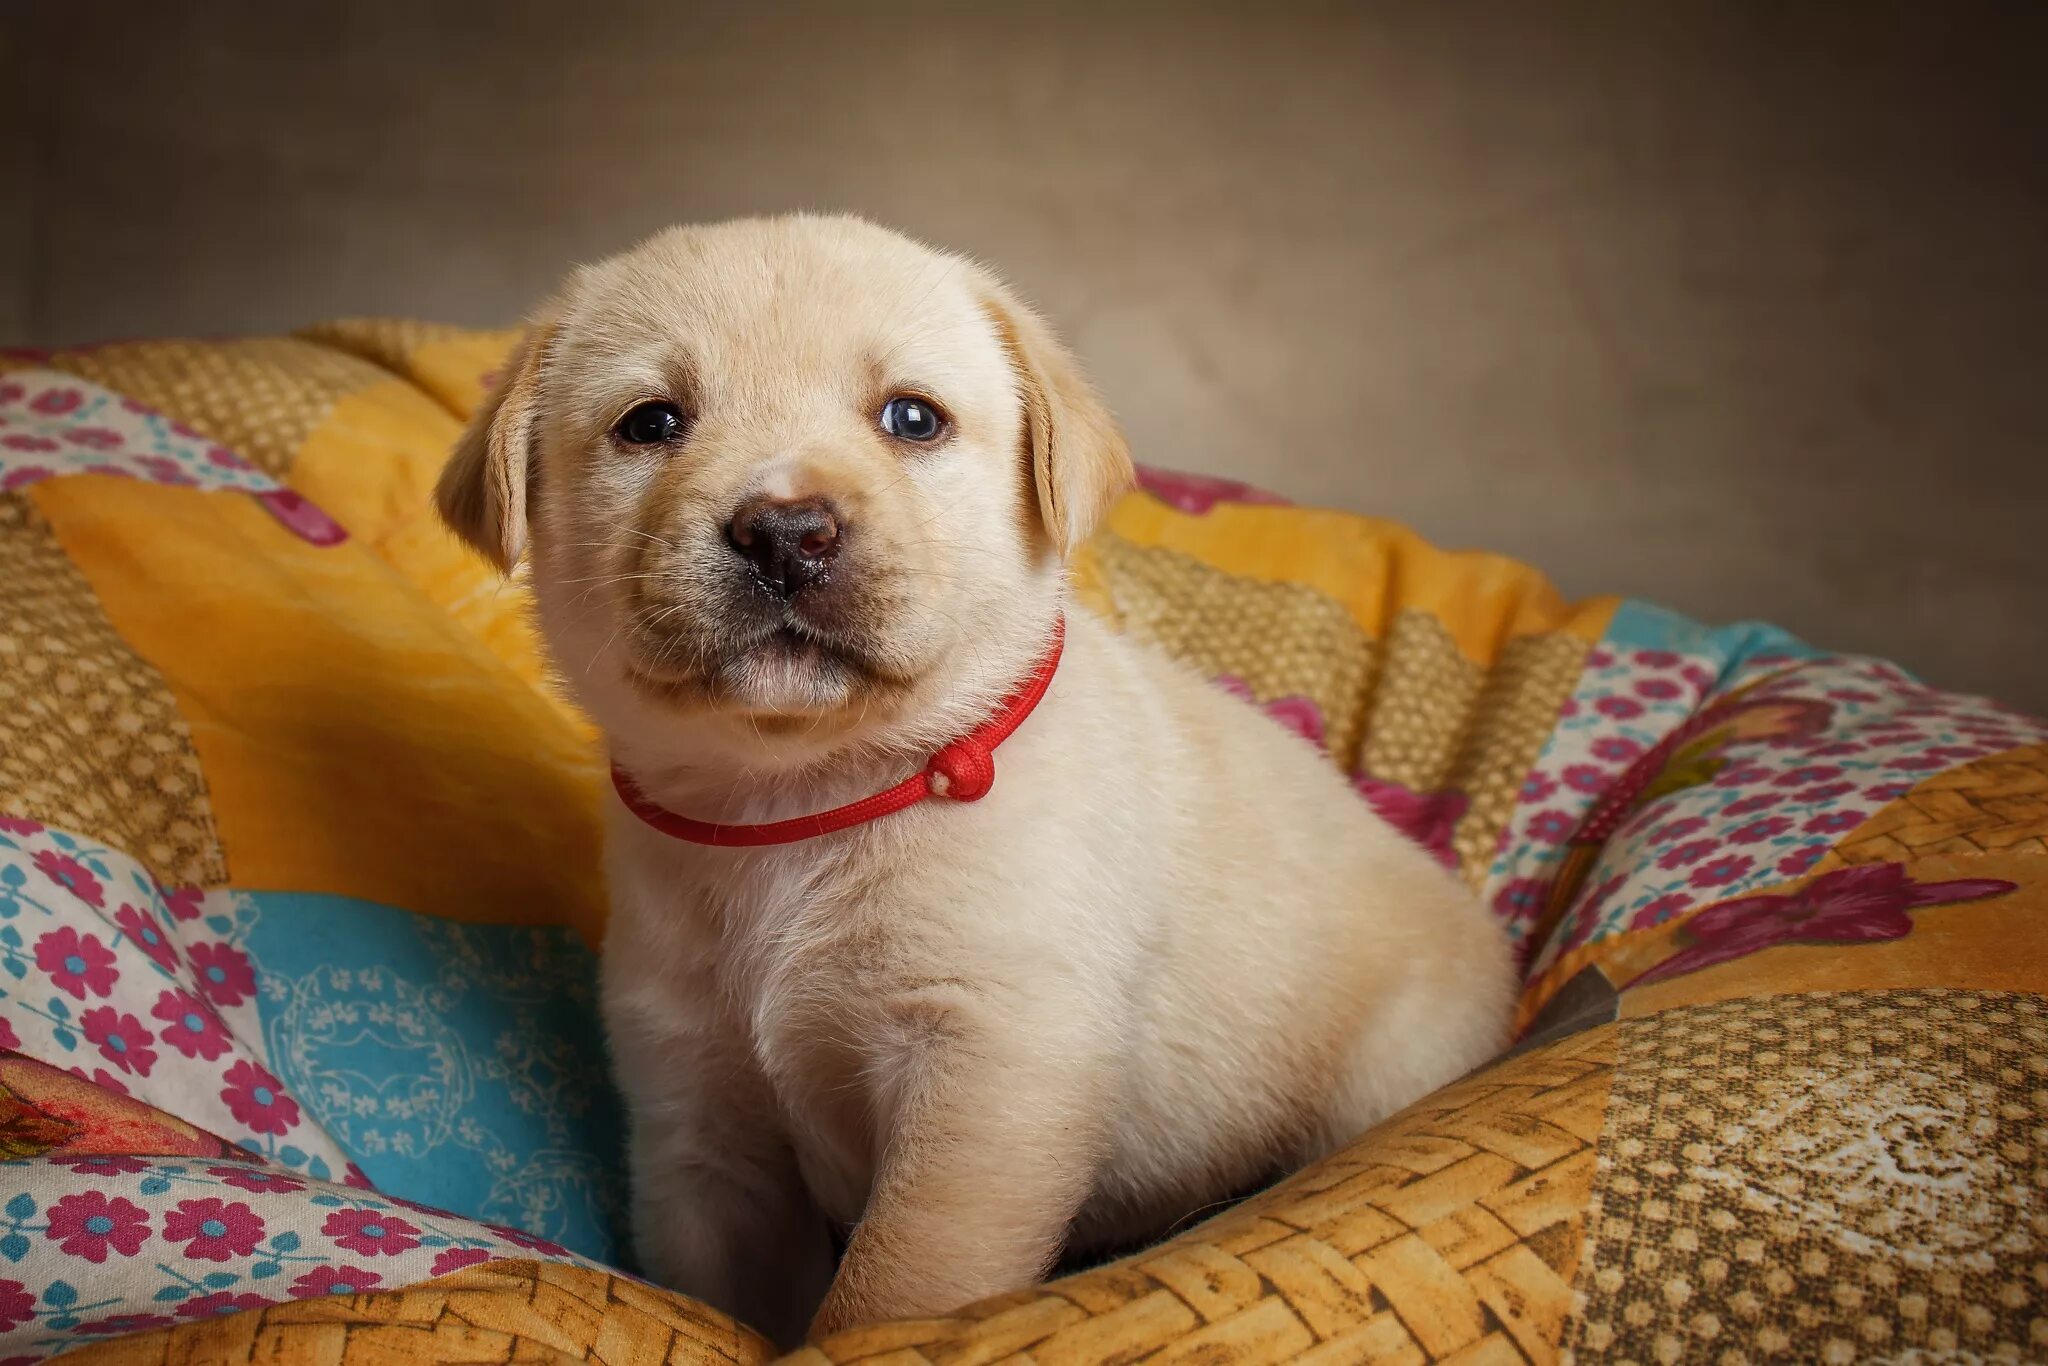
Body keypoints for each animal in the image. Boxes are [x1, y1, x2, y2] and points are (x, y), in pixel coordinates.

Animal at [436, 216, 1523, 1343]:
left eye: (912, 417)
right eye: (650, 422)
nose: (785, 531)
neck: (802, 797)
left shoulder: (990, 1078)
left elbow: (891, 1295)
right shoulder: (698, 1119)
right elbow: (735, 1302)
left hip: (1387, 1068)